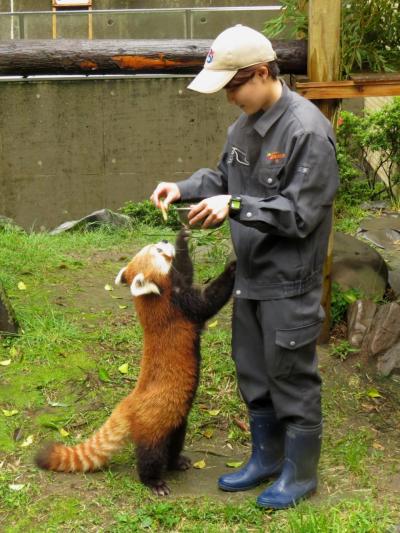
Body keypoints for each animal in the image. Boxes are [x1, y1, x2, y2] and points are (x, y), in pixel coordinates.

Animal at [36, 229, 236, 494]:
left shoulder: (179, 287)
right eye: (158, 252)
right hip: (154, 425)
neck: (151, 298)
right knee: (150, 455)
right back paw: (154, 481)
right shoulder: (181, 306)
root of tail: (128, 404)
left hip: (174, 420)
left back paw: (176, 461)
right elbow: (209, 299)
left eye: (157, 245)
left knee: (175, 440)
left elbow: (186, 270)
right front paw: (231, 268)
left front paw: (182, 237)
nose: (164, 240)